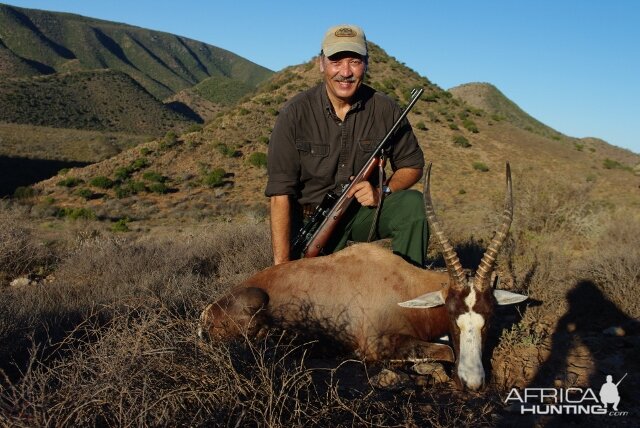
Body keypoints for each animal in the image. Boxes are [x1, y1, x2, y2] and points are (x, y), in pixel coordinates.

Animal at [200, 164, 524, 392]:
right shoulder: (376, 344)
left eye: (489, 319)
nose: (473, 383)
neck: (402, 283)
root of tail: (208, 311)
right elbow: (444, 349)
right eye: (453, 316)